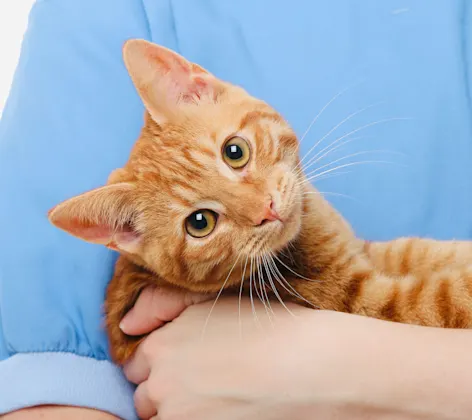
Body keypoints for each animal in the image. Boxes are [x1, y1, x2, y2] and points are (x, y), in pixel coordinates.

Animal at [48, 39, 472, 364]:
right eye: (199, 223)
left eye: (234, 151)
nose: (265, 209)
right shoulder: (370, 300)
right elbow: (447, 297)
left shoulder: (364, 251)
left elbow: (418, 251)